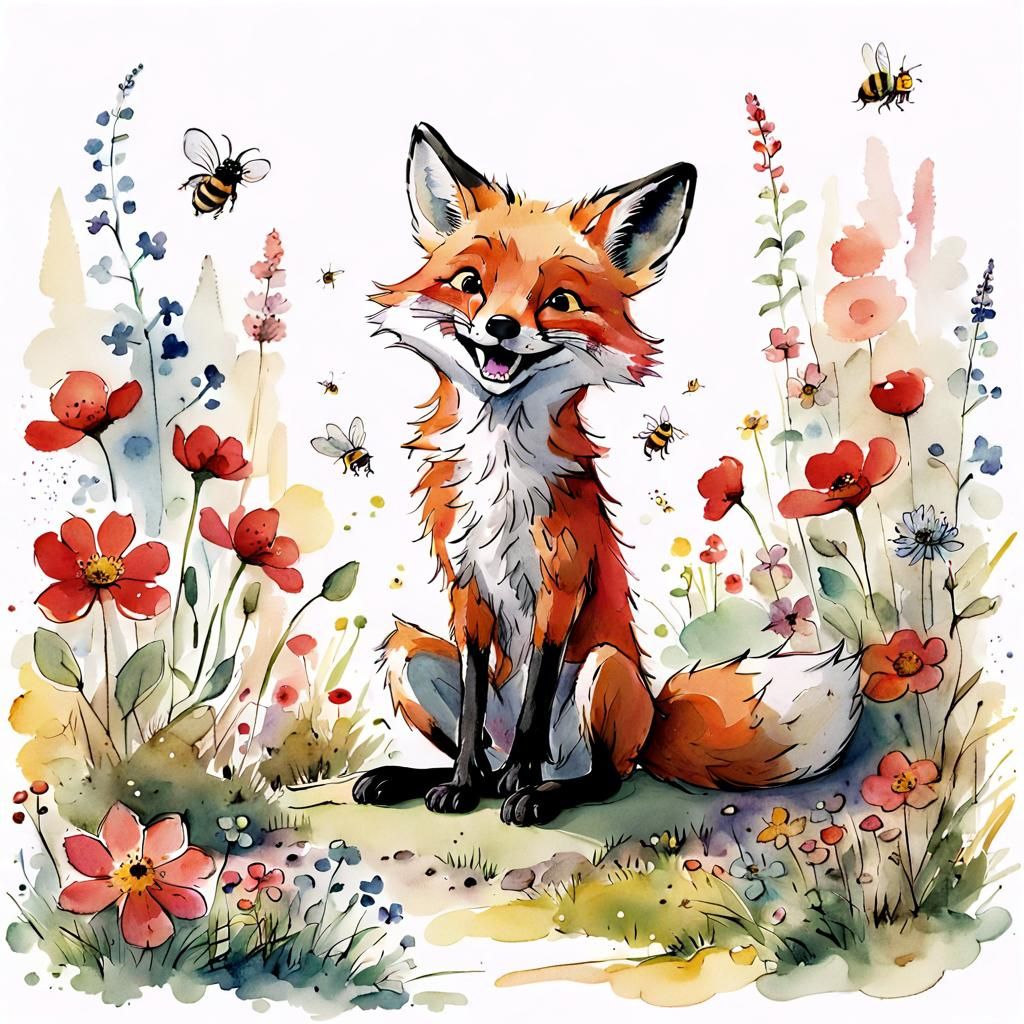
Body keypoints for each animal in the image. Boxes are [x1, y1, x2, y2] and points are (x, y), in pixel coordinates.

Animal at [355, 124, 862, 826]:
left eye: (559, 301)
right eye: (470, 283)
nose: (500, 327)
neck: (500, 468)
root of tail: (653, 724)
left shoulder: (561, 582)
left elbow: (538, 692)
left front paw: (519, 784)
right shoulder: (466, 590)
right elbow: (473, 700)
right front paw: (456, 788)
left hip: (604, 670)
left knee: (605, 778)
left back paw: (535, 790)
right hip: (407, 654)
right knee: (478, 743)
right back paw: (433, 777)